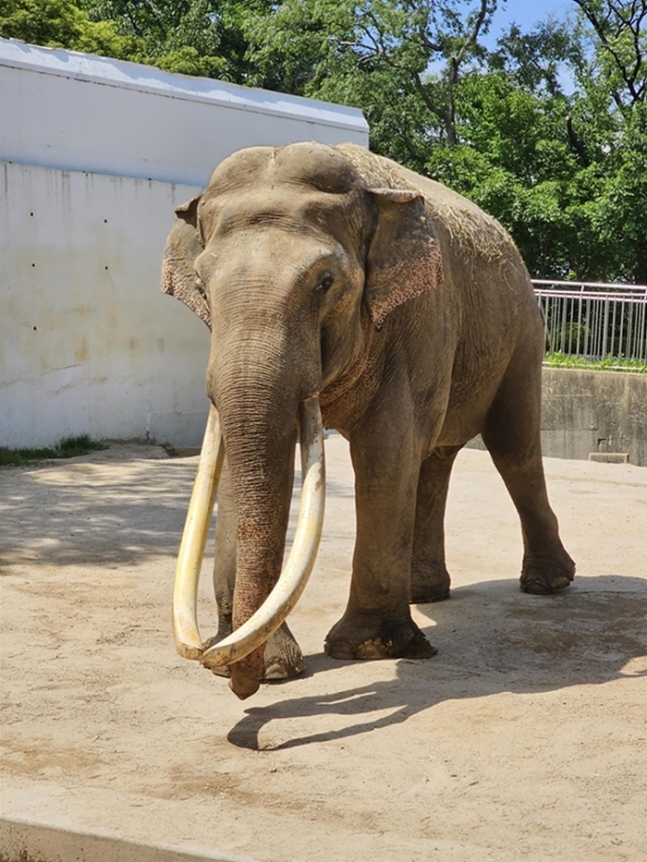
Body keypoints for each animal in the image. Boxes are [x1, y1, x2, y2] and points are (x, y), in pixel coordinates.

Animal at [162, 143, 576, 704]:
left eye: (325, 282)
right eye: (203, 287)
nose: (236, 680)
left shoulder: (414, 318)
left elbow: (385, 451)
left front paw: (367, 649)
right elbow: (244, 463)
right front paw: (270, 667)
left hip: (523, 333)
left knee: (512, 447)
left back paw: (547, 584)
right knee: (435, 456)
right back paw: (426, 592)